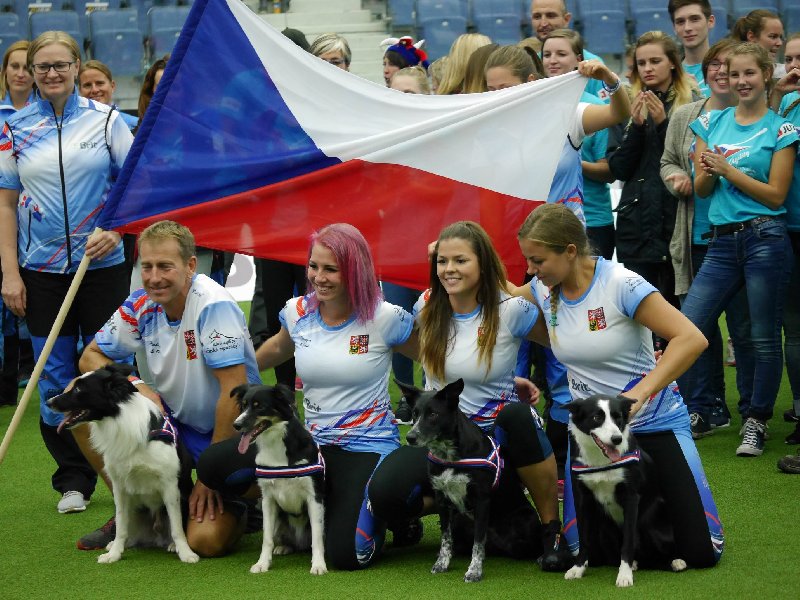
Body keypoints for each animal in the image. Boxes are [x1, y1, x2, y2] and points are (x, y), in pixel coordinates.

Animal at [47, 364, 198, 564]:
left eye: (79, 389)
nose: (48, 402)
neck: (119, 420)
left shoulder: (170, 486)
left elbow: (177, 527)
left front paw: (186, 553)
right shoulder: (120, 487)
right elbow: (121, 527)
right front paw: (114, 554)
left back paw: (173, 545)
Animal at [231, 384, 328, 576]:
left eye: (259, 406)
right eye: (243, 406)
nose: (236, 425)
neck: (276, 446)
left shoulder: (314, 497)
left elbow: (317, 538)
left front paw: (318, 565)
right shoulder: (268, 499)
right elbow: (267, 538)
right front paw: (262, 563)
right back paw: (284, 547)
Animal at [400, 380, 500, 580]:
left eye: (433, 414)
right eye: (414, 413)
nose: (410, 437)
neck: (450, 456)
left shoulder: (482, 500)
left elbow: (478, 540)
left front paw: (474, 570)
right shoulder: (442, 499)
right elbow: (446, 537)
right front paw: (442, 563)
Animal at [564, 394, 684, 584]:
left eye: (618, 417)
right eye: (596, 418)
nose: (616, 439)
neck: (602, 462)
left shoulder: (631, 498)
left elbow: (628, 541)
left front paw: (625, 575)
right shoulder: (584, 499)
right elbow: (584, 538)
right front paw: (578, 569)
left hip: (651, 525)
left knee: (659, 553)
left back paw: (675, 561)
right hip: (605, 529)